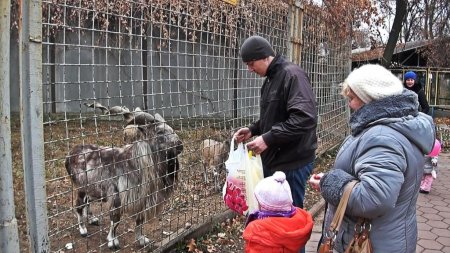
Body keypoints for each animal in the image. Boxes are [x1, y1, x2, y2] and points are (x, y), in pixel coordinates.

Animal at [64, 112, 183, 249]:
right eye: (159, 132)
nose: (180, 145)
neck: (138, 164)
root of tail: (70, 155)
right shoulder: (117, 198)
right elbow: (115, 221)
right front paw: (112, 242)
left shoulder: (141, 200)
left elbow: (139, 221)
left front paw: (141, 239)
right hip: (82, 188)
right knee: (79, 205)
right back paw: (83, 229)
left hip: (94, 189)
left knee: (87, 202)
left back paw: (92, 219)